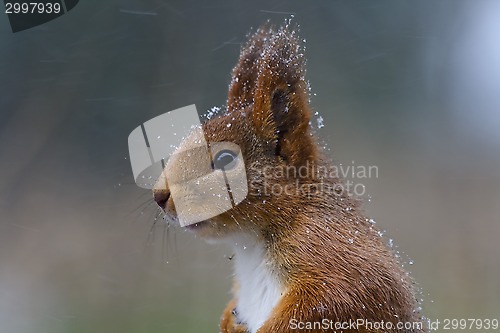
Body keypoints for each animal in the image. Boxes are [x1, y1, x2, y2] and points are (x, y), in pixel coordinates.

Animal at [152, 22, 426, 330]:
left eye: (225, 160)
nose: (158, 195)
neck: (251, 244)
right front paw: (229, 320)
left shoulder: (336, 251)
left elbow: (342, 298)